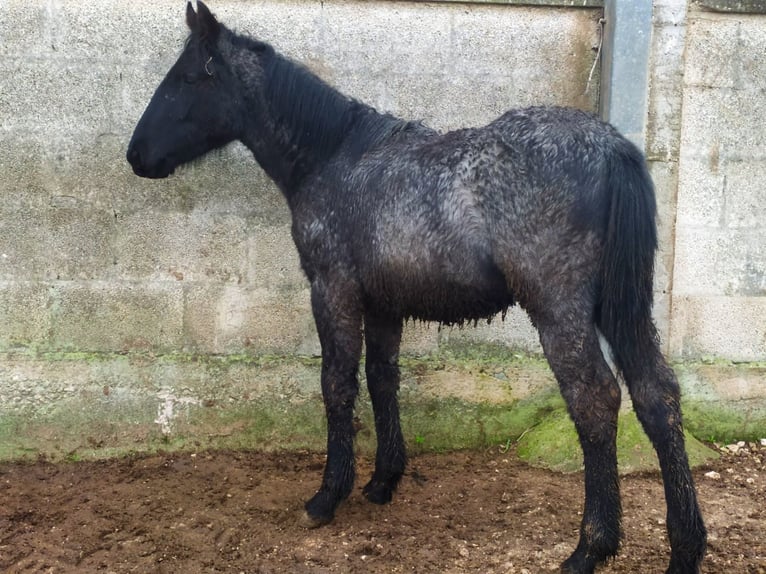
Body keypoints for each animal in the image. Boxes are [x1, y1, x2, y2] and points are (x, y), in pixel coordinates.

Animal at [126, 3, 706, 572]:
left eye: (187, 77)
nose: (136, 154)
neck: (334, 155)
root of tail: (611, 147)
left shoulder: (332, 289)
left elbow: (337, 383)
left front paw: (327, 495)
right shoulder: (384, 304)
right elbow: (383, 380)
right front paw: (383, 481)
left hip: (558, 308)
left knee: (596, 400)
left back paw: (591, 547)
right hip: (620, 308)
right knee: (657, 393)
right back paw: (686, 547)